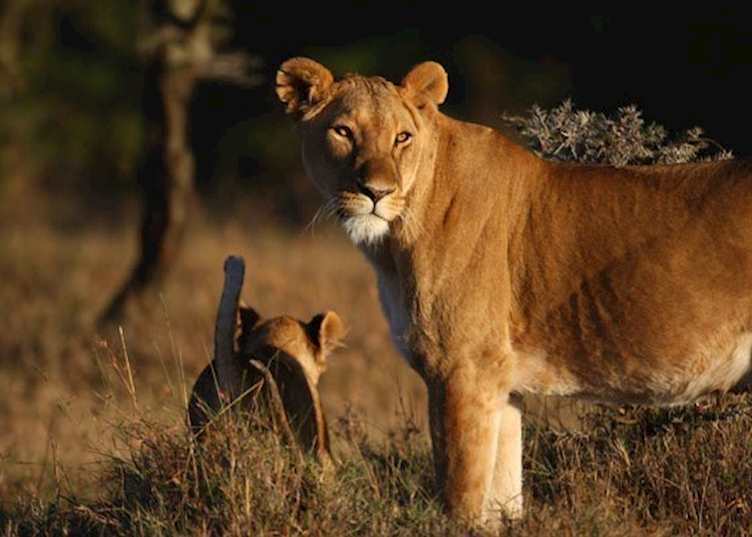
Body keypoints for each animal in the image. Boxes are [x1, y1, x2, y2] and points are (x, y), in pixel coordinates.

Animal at [275, 57, 752, 524]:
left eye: (402, 137)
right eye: (343, 131)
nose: (376, 192)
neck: (391, 242)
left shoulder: (462, 371)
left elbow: (460, 500)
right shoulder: (501, 387)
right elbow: (501, 502)